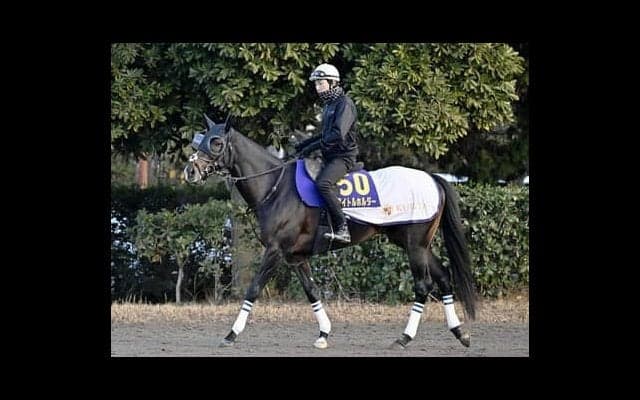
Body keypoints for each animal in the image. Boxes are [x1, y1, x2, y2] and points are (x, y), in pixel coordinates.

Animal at [184, 114, 477, 350]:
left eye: (216, 142)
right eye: (201, 140)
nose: (190, 171)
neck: (276, 186)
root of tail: (432, 178)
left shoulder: (275, 251)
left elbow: (254, 289)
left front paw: (231, 334)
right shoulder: (295, 257)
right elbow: (312, 291)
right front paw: (324, 333)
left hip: (415, 245)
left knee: (423, 285)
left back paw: (404, 338)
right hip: (416, 245)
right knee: (444, 277)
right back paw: (460, 333)